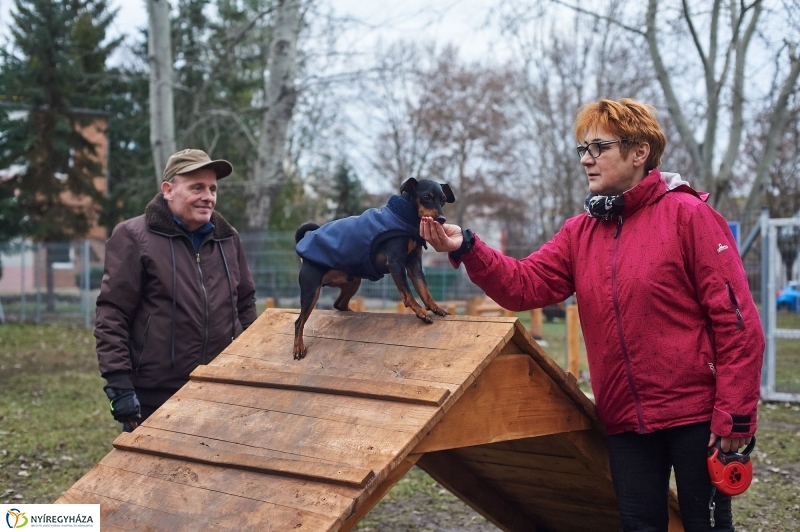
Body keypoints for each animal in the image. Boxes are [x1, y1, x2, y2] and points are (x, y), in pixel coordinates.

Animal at [294, 180, 456, 362]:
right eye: (427, 197)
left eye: (443, 200)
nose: (442, 219)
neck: (404, 217)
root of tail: (302, 247)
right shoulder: (395, 263)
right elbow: (408, 294)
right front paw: (421, 312)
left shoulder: (414, 265)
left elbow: (424, 290)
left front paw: (435, 308)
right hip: (311, 291)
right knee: (299, 322)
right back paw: (298, 348)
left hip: (353, 281)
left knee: (339, 304)